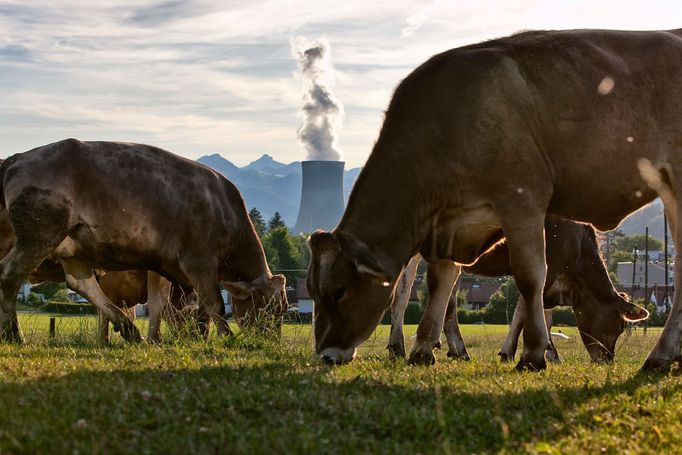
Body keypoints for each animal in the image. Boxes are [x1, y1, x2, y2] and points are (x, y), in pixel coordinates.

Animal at [0, 141, 284, 344]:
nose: (271, 340)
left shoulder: (161, 264)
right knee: (9, 275)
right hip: (39, 234)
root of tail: (19, 157)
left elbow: (169, 304)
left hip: (69, 244)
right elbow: (213, 302)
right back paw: (13, 334)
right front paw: (227, 337)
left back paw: (128, 329)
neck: (225, 210)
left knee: (82, 283)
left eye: (283, 308)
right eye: (268, 306)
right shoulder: (199, 260)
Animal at [386, 216, 644, 366]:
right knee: (408, 293)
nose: (608, 359)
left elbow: (540, 314)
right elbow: (527, 311)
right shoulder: (544, 270)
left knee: (417, 295)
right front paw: (526, 352)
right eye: (620, 326)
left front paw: (545, 352)